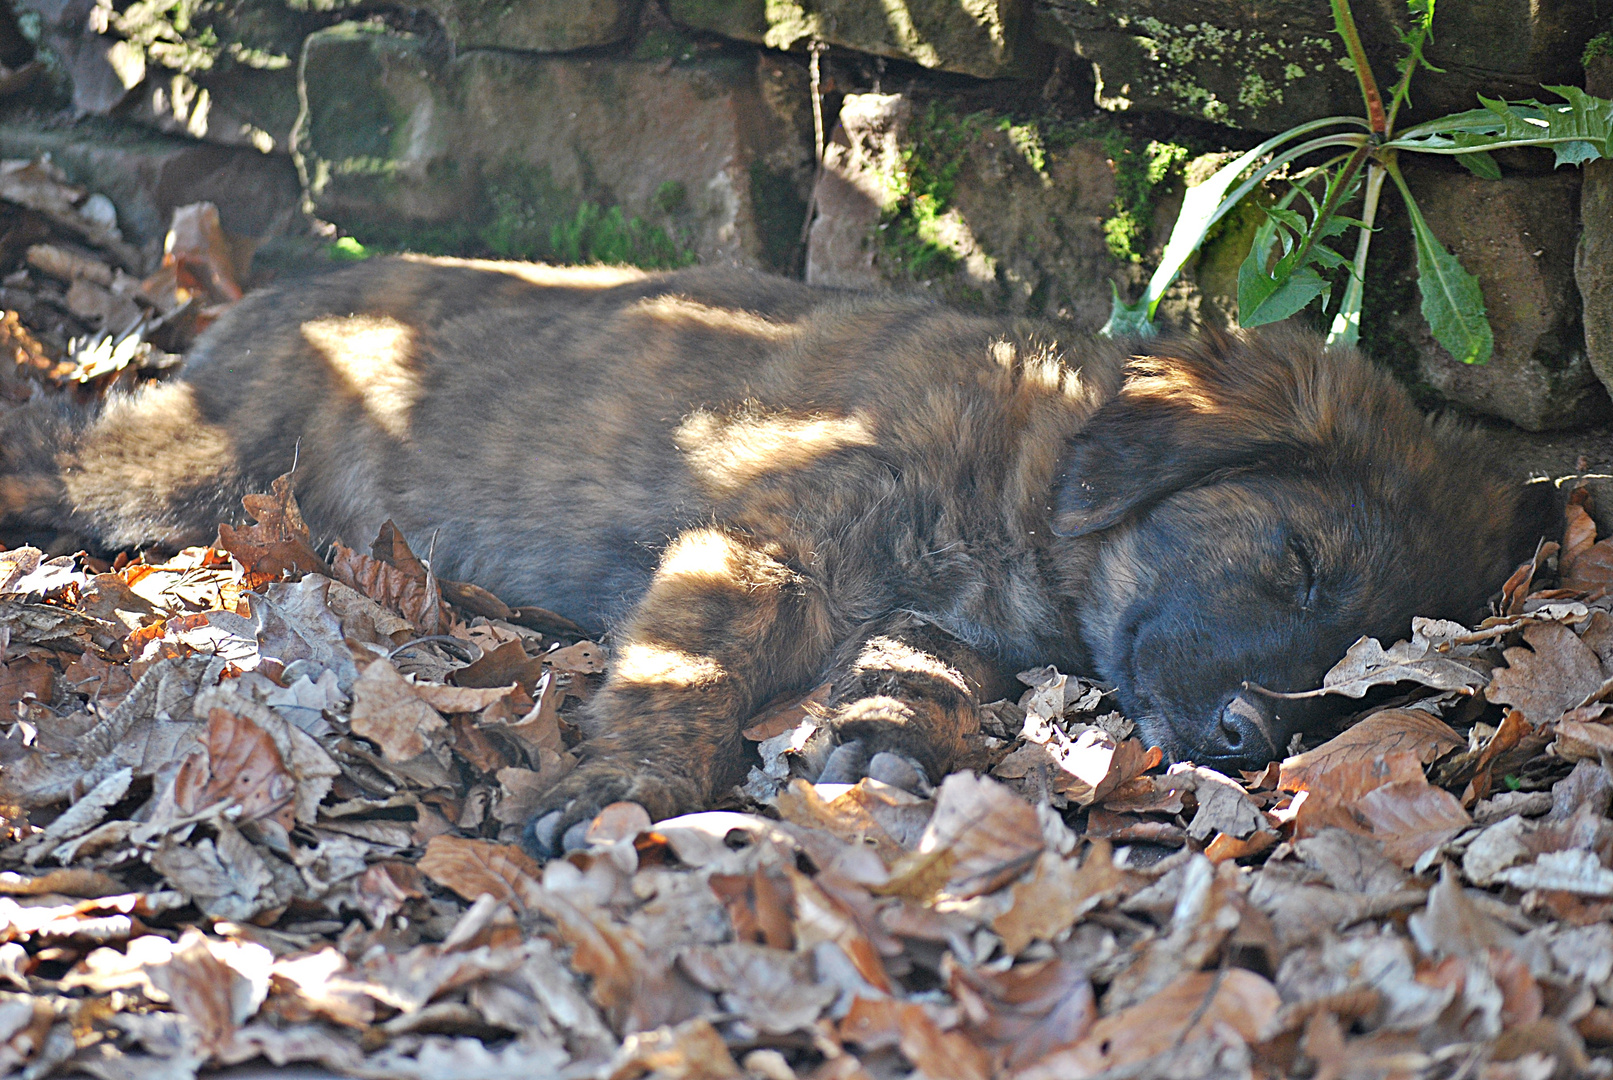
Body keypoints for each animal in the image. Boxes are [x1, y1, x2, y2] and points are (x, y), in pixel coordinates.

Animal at [0, 256, 1548, 857]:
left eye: (1351, 672)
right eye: (1294, 561)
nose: (1247, 741)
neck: (1026, 470)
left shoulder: (926, 611)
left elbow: (918, 674)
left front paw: (881, 746)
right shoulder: (763, 543)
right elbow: (686, 679)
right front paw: (625, 787)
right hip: (192, 466)